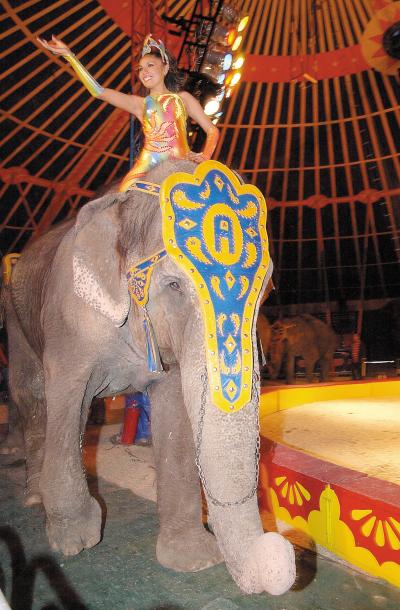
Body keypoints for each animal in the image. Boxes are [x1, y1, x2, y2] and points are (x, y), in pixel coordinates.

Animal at [1, 160, 296, 592]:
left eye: (267, 292)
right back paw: (33, 496)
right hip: (15, 315)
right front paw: (76, 540)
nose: (277, 548)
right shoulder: (70, 321)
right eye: (173, 285)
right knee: (31, 393)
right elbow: (67, 400)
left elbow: (174, 411)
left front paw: (193, 560)